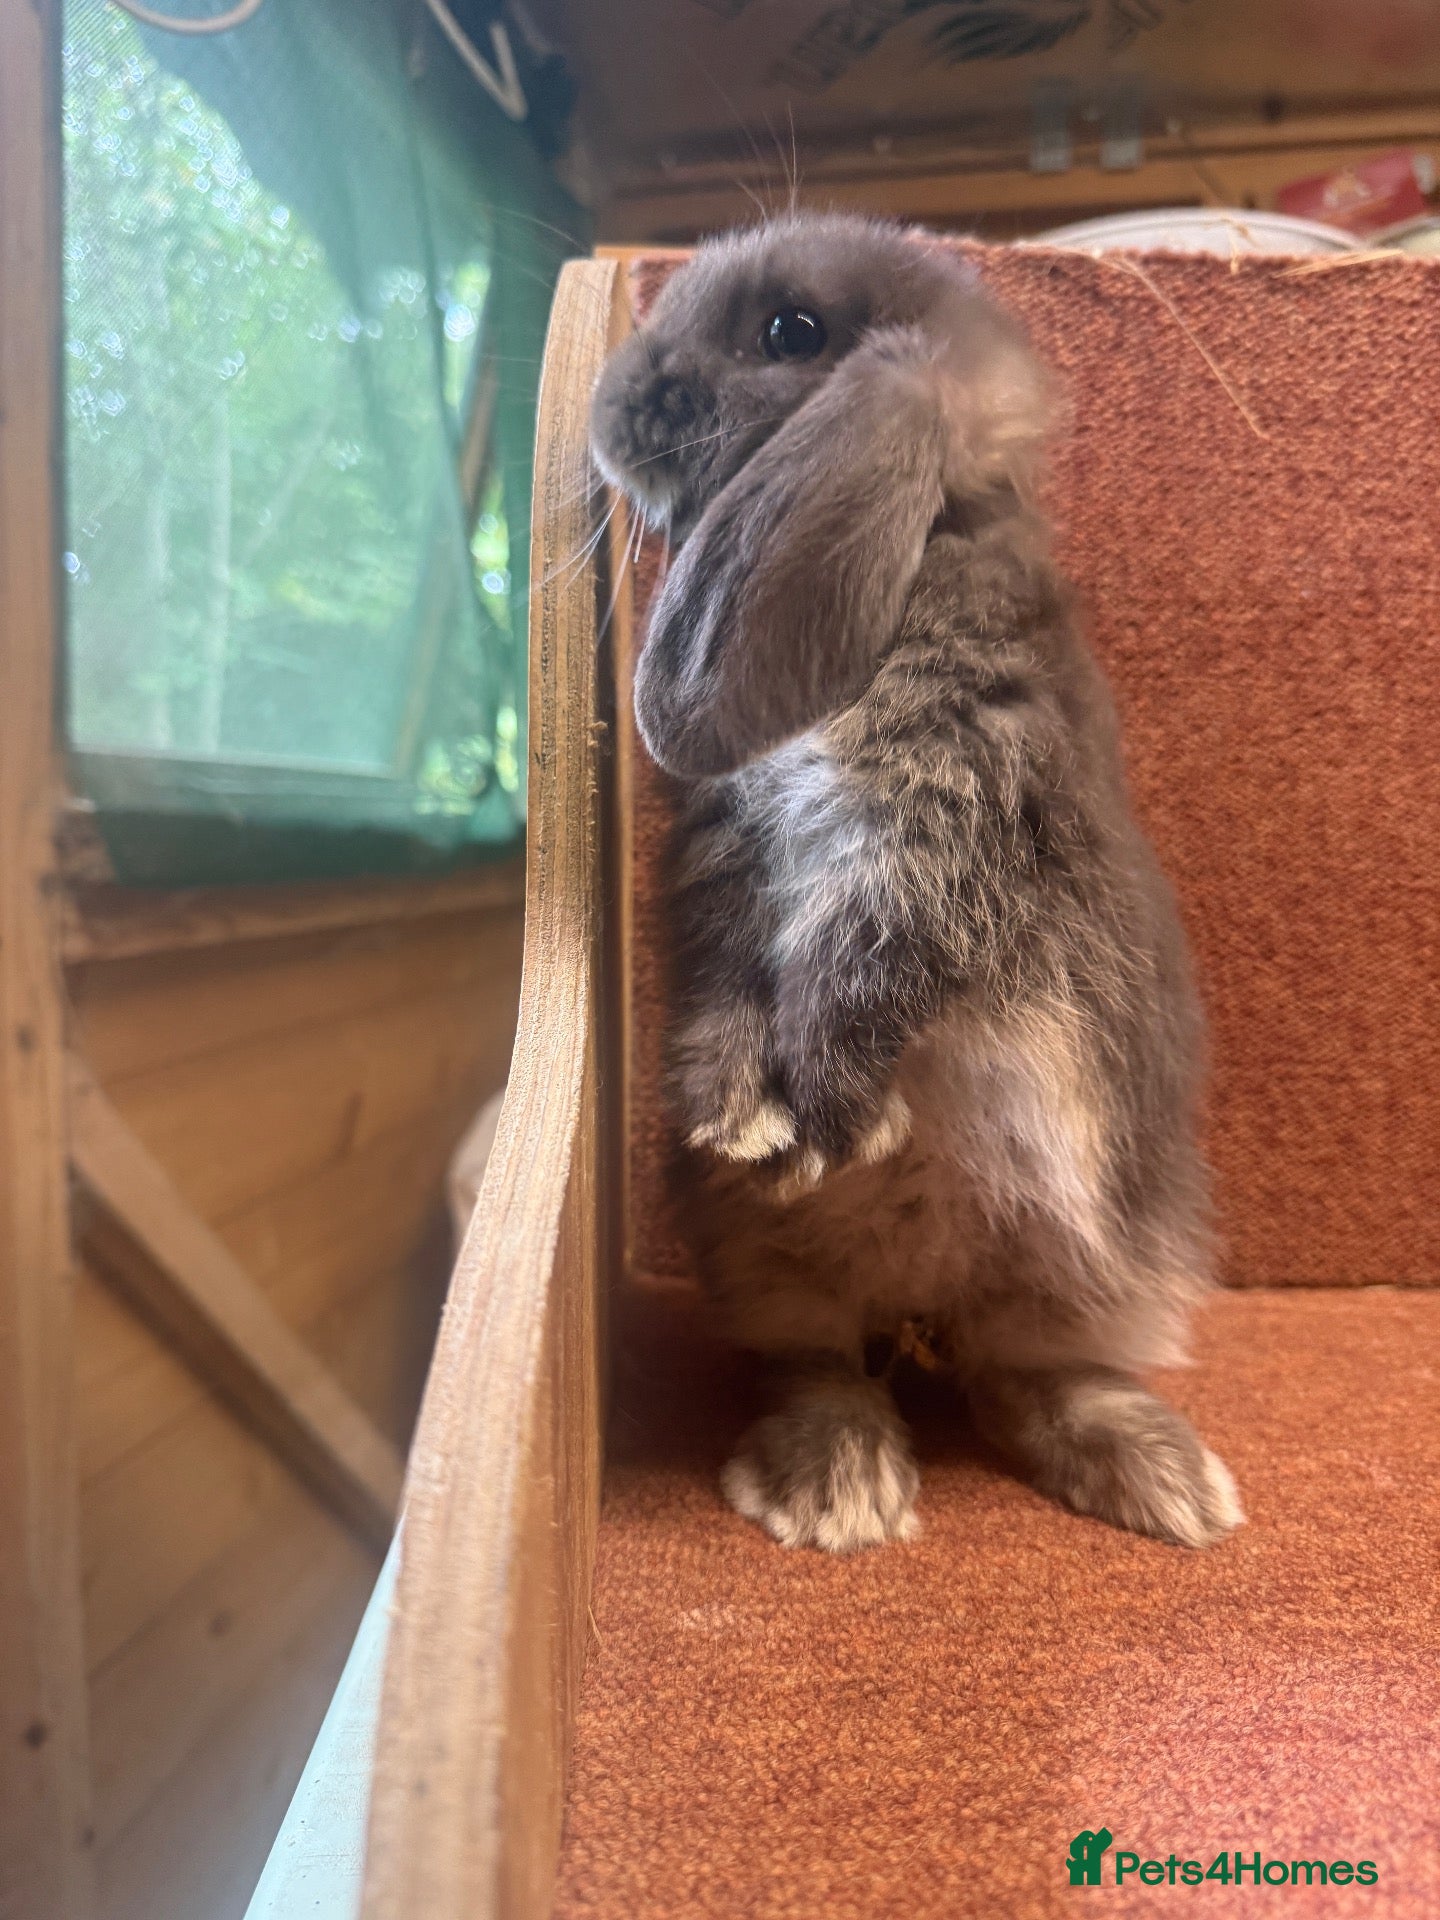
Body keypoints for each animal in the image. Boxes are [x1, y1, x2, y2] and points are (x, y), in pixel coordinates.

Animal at [590, 213, 1244, 1555]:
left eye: (792, 330)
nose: (608, 407)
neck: (927, 552)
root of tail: (922, 1303)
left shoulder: (942, 830)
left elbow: (868, 963)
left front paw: (834, 1113)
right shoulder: (730, 863)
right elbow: (733, 985)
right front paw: (739, 1118)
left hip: (1102, 1266)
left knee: (1033, 1376)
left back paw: (1165, 1483)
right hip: (767, 1267)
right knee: (822, 1362)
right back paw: (833, 1485)